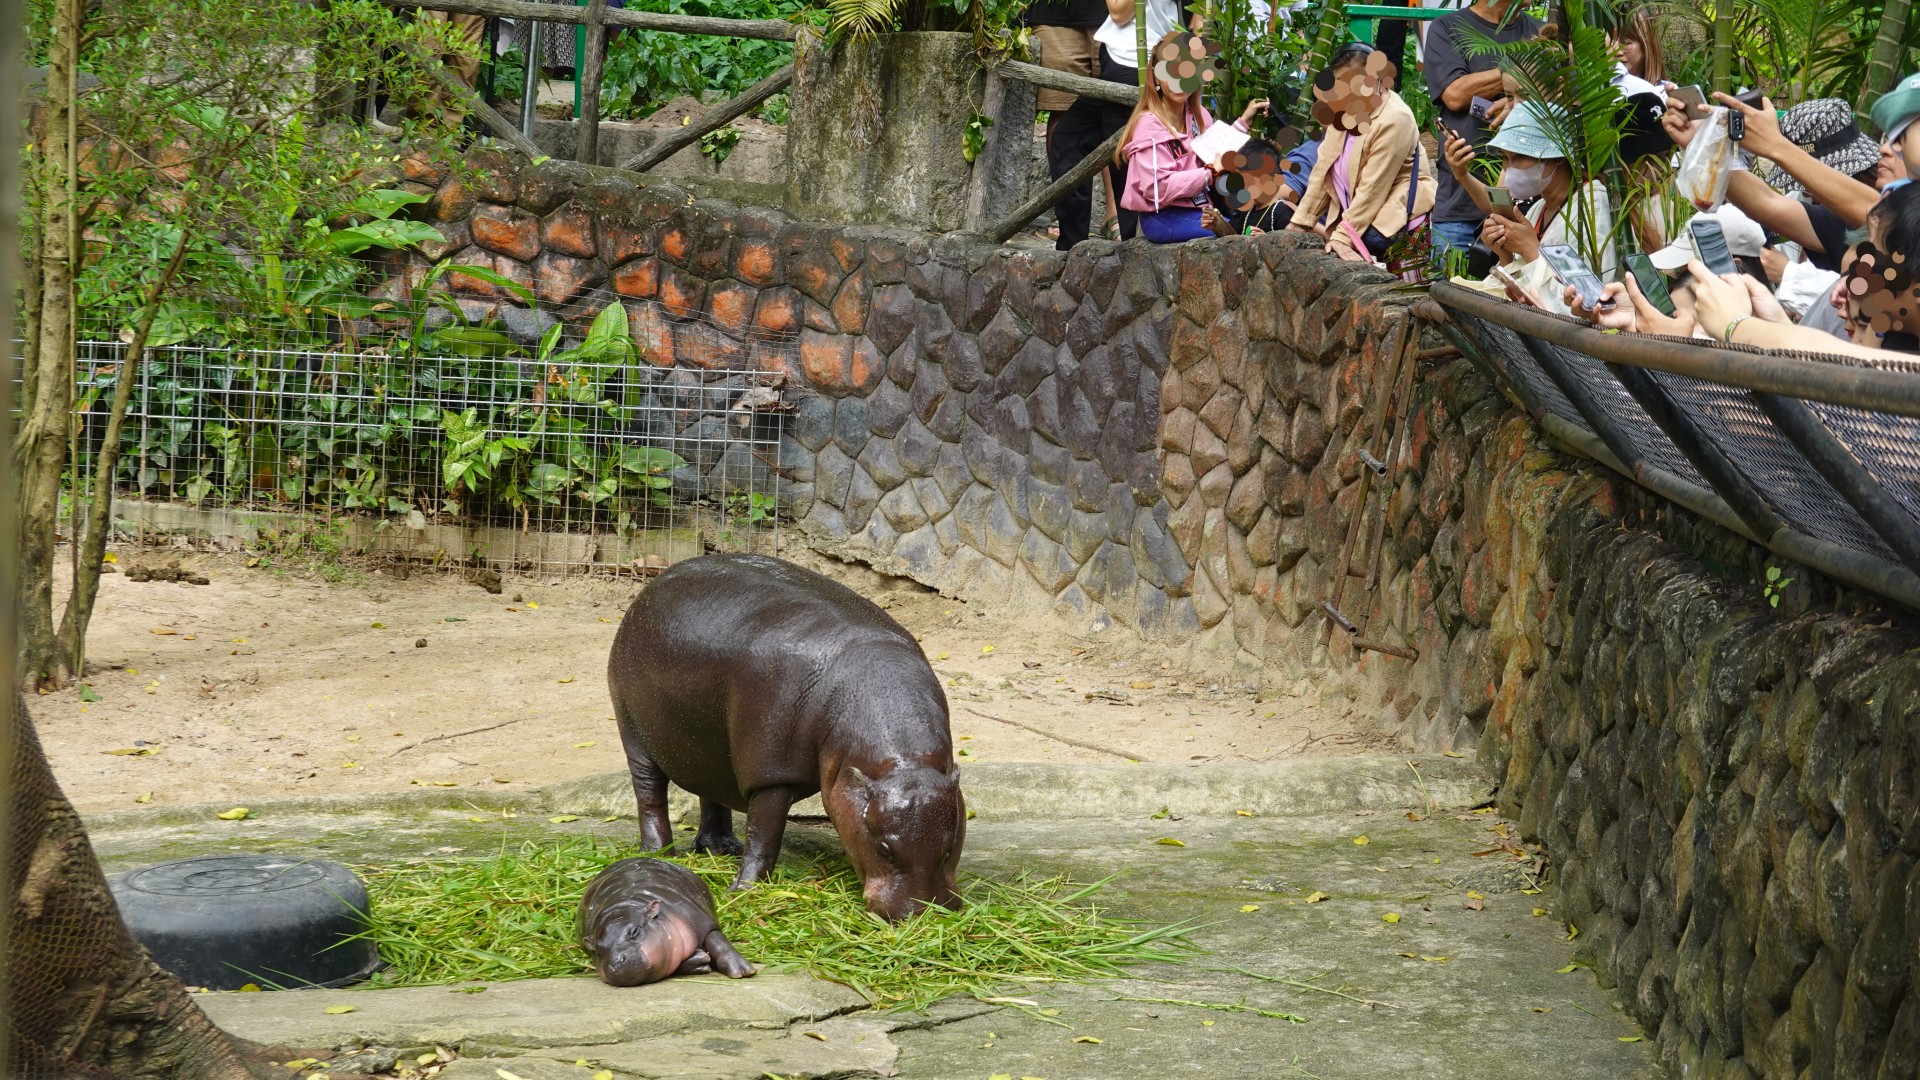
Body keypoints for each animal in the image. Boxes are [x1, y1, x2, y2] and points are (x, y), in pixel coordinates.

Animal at [572, 853, 752, 980]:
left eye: (635, 932)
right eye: (597, 952)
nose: (615, 965)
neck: (624, 904)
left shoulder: (697, 918)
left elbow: (718, 941)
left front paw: (742, 970)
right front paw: (700, 961)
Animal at [606, 553, 967, 914]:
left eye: (950, 847)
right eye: (883, 849)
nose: (920, 911)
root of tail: (653, 585)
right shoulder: (771, 775)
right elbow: (763, 836)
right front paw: (743, 891)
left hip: (710, 746)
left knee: (710, 792)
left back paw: (720, 848)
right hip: (634, 734)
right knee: (650, 795)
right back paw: (659, 853)